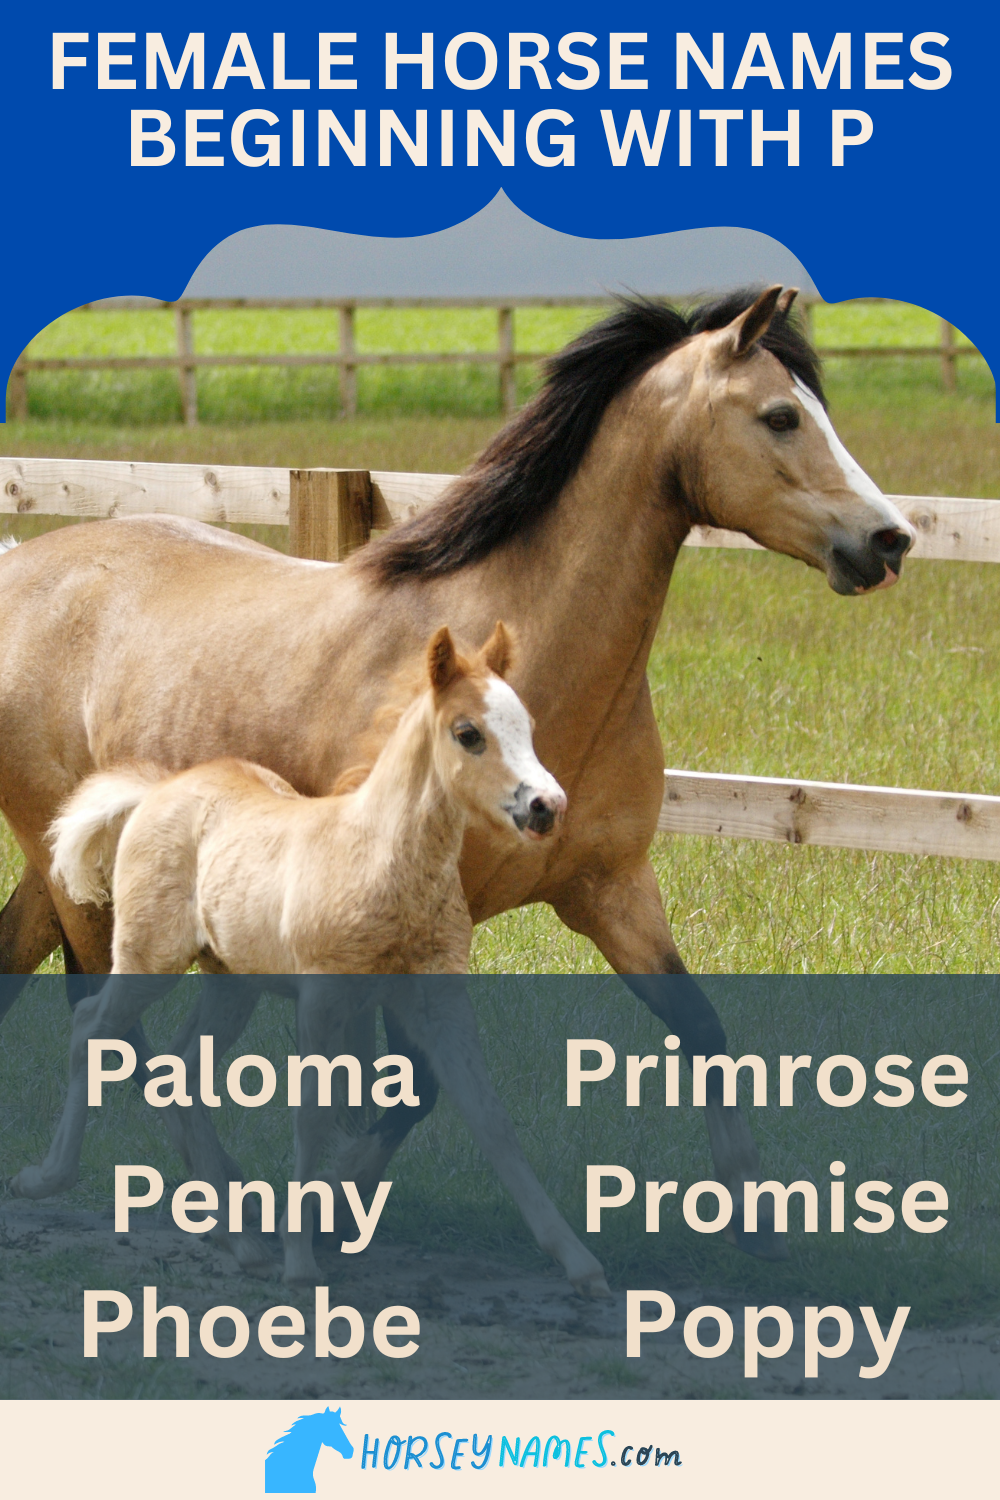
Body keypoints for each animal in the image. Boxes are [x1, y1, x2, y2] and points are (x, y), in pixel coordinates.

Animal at [15, 625, 608, 1292]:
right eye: (468, 733)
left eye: (527, 726)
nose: (546, 806)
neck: (381, 863)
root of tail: (156, 790)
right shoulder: (323, 1000)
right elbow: (312, 1116)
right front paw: (301, 1264)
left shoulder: (437, 999)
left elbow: (490, 1119)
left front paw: (578, 1260)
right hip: (149, 958)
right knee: (92, 1025)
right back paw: (47, 1178)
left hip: (232, 984)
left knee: (180, 1070)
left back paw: (241, 1241)